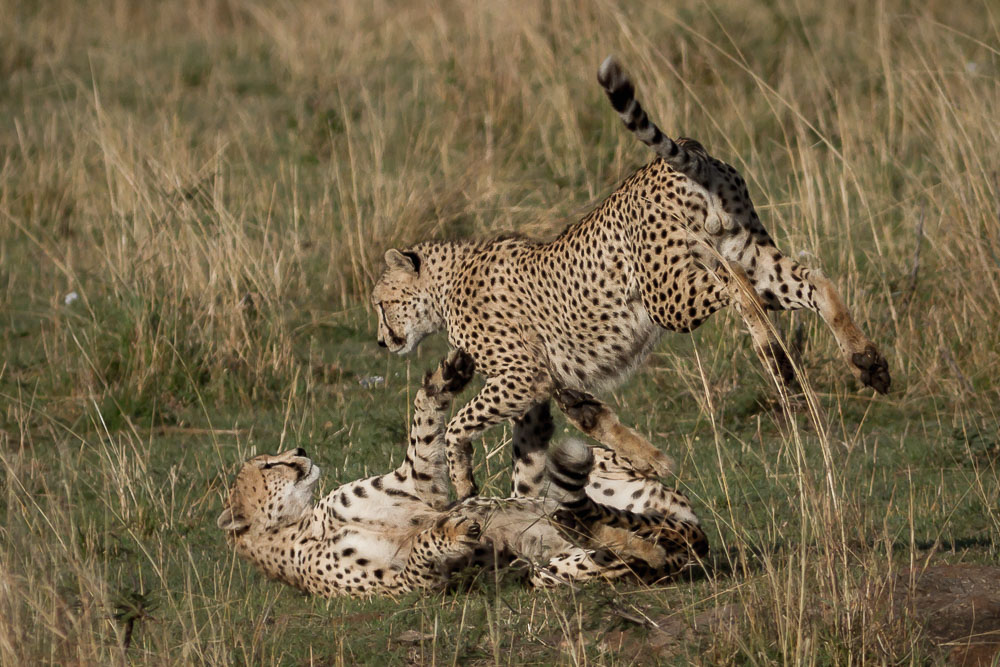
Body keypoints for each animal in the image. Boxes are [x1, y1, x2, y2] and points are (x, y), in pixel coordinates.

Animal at [370, 56, 892, 500]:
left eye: (380, 302)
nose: (380, 340)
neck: (446, 283)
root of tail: (684, 154)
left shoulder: (521, 375)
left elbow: (461, 424)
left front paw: (464, 480)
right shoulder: (542, 387)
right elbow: (566, 433)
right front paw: (646, 462)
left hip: (668, 294)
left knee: (735, 288)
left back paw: (777, 358)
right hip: (749, 250)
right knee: (812, 280)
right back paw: (865, 361)